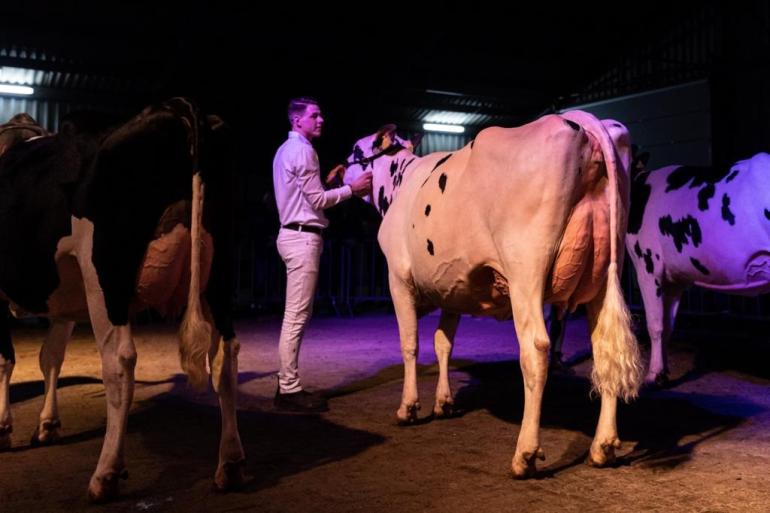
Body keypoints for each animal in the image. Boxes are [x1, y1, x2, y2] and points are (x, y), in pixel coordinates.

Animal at [0, 99, 243, 500]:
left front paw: (5, 427)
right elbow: (50, 356)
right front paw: (47, 424)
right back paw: (230, 465)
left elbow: (8, 359)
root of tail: (174, 108)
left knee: (119, 362)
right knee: (225, 356)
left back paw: (106, 474)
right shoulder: (65, 295)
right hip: (220, 271)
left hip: (106, 275)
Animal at [344, 111, 640, 476]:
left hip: (525, 270)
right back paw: (603, 447)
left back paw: (525, 454)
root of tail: (581, 122)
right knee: (605, 351)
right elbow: (443, 343)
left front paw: (408, 408)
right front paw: (444, 403)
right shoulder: (452, 288)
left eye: (355, 150)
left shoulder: (397, 278)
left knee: (536, 350)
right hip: (606, 271)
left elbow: (410, 344)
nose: (339, 170)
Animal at [624, 152, 768, 384]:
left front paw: (653, 375)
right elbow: (668, 326)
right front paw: (664, 372)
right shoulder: (675, 279)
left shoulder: (647, 266)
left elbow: (655, 324)